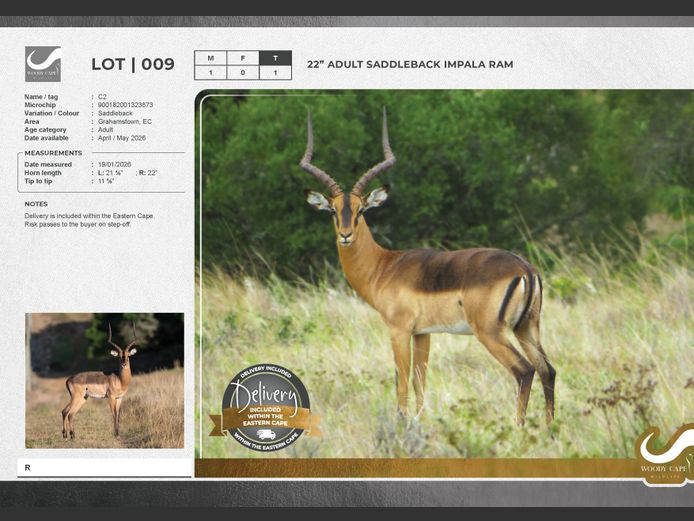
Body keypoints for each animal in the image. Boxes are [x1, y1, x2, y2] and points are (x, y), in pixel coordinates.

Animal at [301, 109, 556, 426]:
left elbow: (401, 380)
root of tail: (525, 270)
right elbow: (420, 380)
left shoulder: (399, 330)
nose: (345, 235)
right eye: (334, 211)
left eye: (360, 210)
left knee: (524, 370)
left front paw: (402, 422)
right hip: (527, 328)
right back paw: (549, 428)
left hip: (492, 333)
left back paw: (518, 427)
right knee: (548, 370)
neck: (384, 266)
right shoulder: (424, 333)